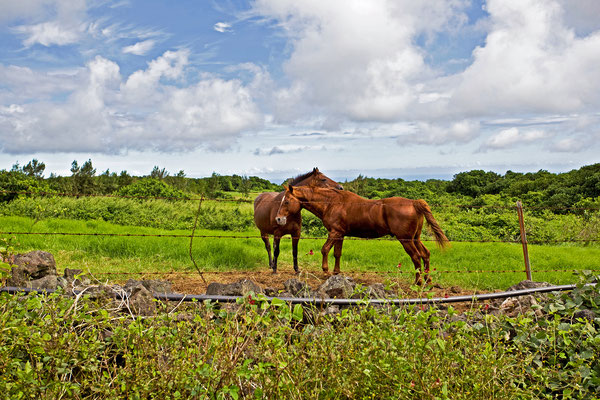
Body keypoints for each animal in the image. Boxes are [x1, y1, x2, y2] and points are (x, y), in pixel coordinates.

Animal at [274, 185, 448, 282]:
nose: (278, 219)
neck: (332, 203)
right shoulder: (340, 234)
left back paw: (417, 282)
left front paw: (325, 270)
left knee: (416, 257)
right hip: (415, 238)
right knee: (425, 254)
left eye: (287, 201)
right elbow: (337, 253)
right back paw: (427, 280)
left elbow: (324, 250)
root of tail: (414, 203)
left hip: (406, 240)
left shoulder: (334, 232)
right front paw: (336, 272)